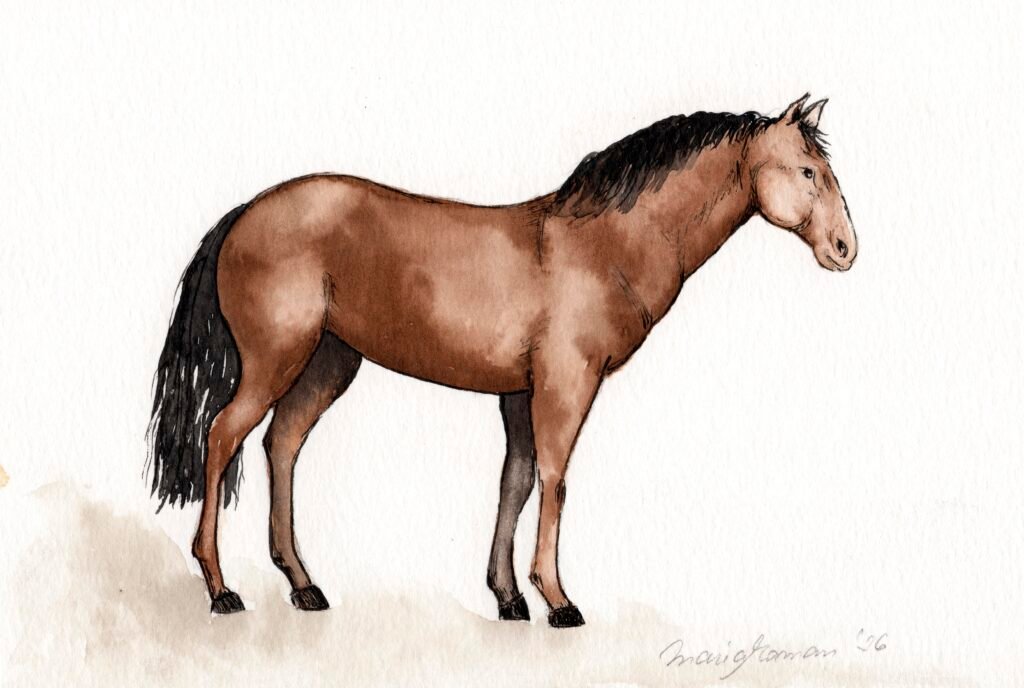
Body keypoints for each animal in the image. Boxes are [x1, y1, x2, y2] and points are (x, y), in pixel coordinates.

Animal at [147, 94, 857, 627]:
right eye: (807, 171)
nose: (845, 249)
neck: (602, 247)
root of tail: (247, 212)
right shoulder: (566, 385)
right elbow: (554, 480)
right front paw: (558, 600)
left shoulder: (519, 392)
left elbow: (514, 482)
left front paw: (509, 597)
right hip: (275, 359)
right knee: (223, 437)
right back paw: (220, 588)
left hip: (328, 363)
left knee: (282, 443)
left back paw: (303, 585)